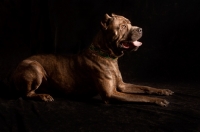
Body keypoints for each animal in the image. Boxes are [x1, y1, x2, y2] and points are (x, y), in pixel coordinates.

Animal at [12, 13, 173, 106]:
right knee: (27, 94)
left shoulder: (122, 86)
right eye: (122, 26)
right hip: (35, 67)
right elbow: (139, 97)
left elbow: (145, 88)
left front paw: (162, 91)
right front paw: (157, 100)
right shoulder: (111, 93)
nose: (140, 29)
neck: (108, 56)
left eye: (130, 23)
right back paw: (44, 96)